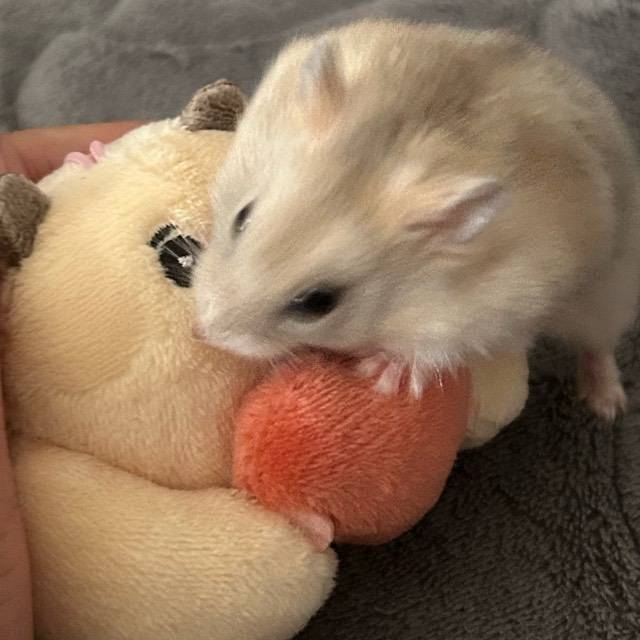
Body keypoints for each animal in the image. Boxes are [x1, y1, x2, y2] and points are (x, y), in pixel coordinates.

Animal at [193, 19, 640, 421]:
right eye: (241, 217)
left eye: (319, 303)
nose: (203, 332)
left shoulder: (497, 301)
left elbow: (437, 347)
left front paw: (382, 374)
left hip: (608, 291)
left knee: (599, 345)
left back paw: (607, 406)